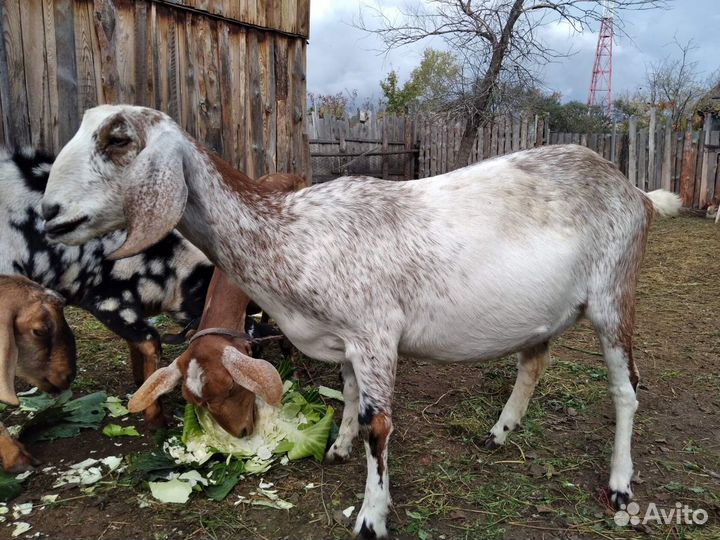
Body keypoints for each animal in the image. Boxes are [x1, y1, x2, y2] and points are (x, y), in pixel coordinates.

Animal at [42, 104, 684, 536]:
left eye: (118, 137)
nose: (49, 215)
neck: (288, 233)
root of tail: (635, 191)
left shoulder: (377, 333)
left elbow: (380, 424)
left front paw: (372, 515)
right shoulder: (345, 337)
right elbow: (348, 393)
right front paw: (339, 445)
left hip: (614, 294)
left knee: (626, 390)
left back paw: (620, 485)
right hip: (541, 311)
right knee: (535, 359)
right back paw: (501, 431)